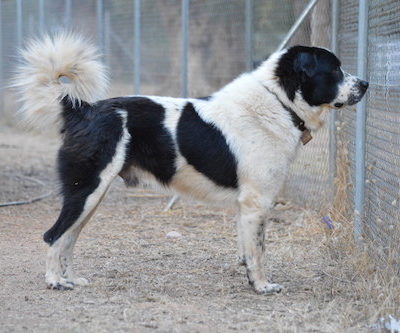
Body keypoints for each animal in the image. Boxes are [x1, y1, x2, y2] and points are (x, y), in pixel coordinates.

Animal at [13, 34, 368, 294]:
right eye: (334, 70)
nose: (365, 84)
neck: (278, 101)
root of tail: (82, 109)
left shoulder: (246, 205)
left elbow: (246, 249)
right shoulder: (257, 201)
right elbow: (259, 252)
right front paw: (261, 286)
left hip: (90, 195)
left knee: (68, 238)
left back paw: (69, 279)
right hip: (86, 190)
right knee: (54, 235)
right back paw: (55, 282)